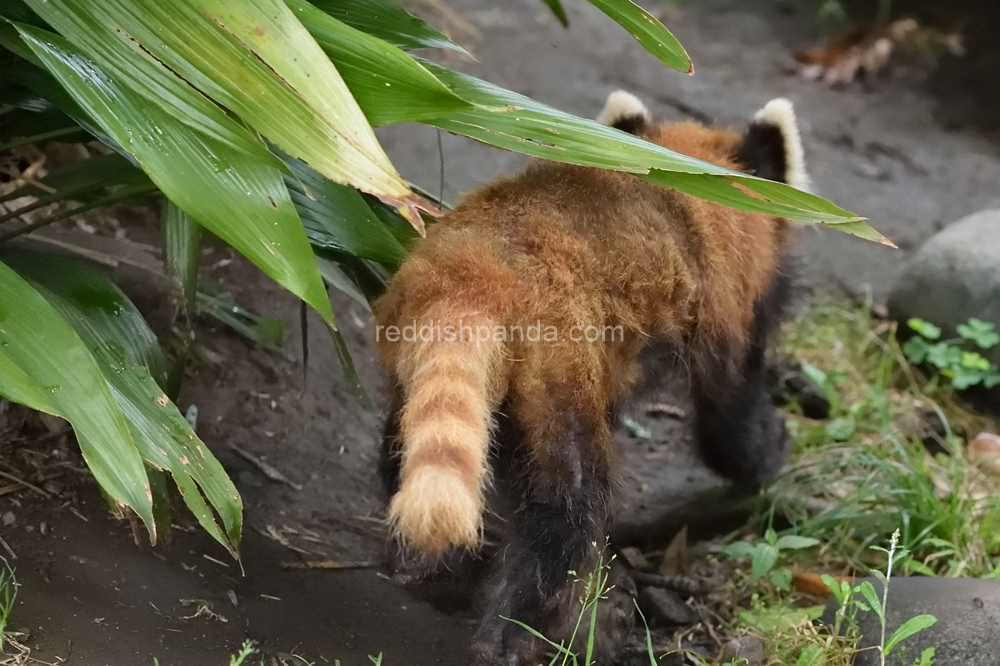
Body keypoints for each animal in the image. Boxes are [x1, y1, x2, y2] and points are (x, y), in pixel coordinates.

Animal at [372, 89, 808, 664]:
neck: (690, 187)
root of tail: (474, 273)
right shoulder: (724, 304)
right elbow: (728, 415)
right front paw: (769, 449)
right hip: (558, 367)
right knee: (570, 507)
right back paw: (520, 631)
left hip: (416, 353)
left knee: (407, 446)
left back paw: (445, 569)